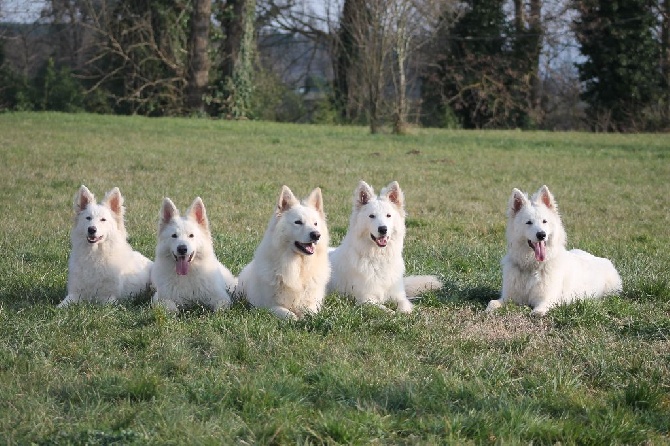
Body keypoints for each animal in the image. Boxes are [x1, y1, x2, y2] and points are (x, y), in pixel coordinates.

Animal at [238, 186, 332, 320]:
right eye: (298, 222)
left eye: (315, 224)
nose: (316, 235)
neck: (299, 267)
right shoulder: (267, 306)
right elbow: (286, 313)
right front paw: (295, 319)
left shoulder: (313, 303)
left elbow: (310, 311)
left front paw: (307, 317)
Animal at [328, 179, 444, 312]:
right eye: (371, 216)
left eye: (388, 215)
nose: (383, 229)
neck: (379, 258)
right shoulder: (366, 299)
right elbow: (386, 310)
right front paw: (393, 313)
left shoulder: (399, 296)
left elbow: (404, 307)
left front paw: (403, 313)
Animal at [488, 185, 624, 318]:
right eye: (529, 222)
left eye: (544, 221)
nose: (541, 235)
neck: (532, 266)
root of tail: (602, 259)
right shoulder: (508, 297)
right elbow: (492, 303)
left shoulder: (549, 298)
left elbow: (539, 310)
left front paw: (537, 312)